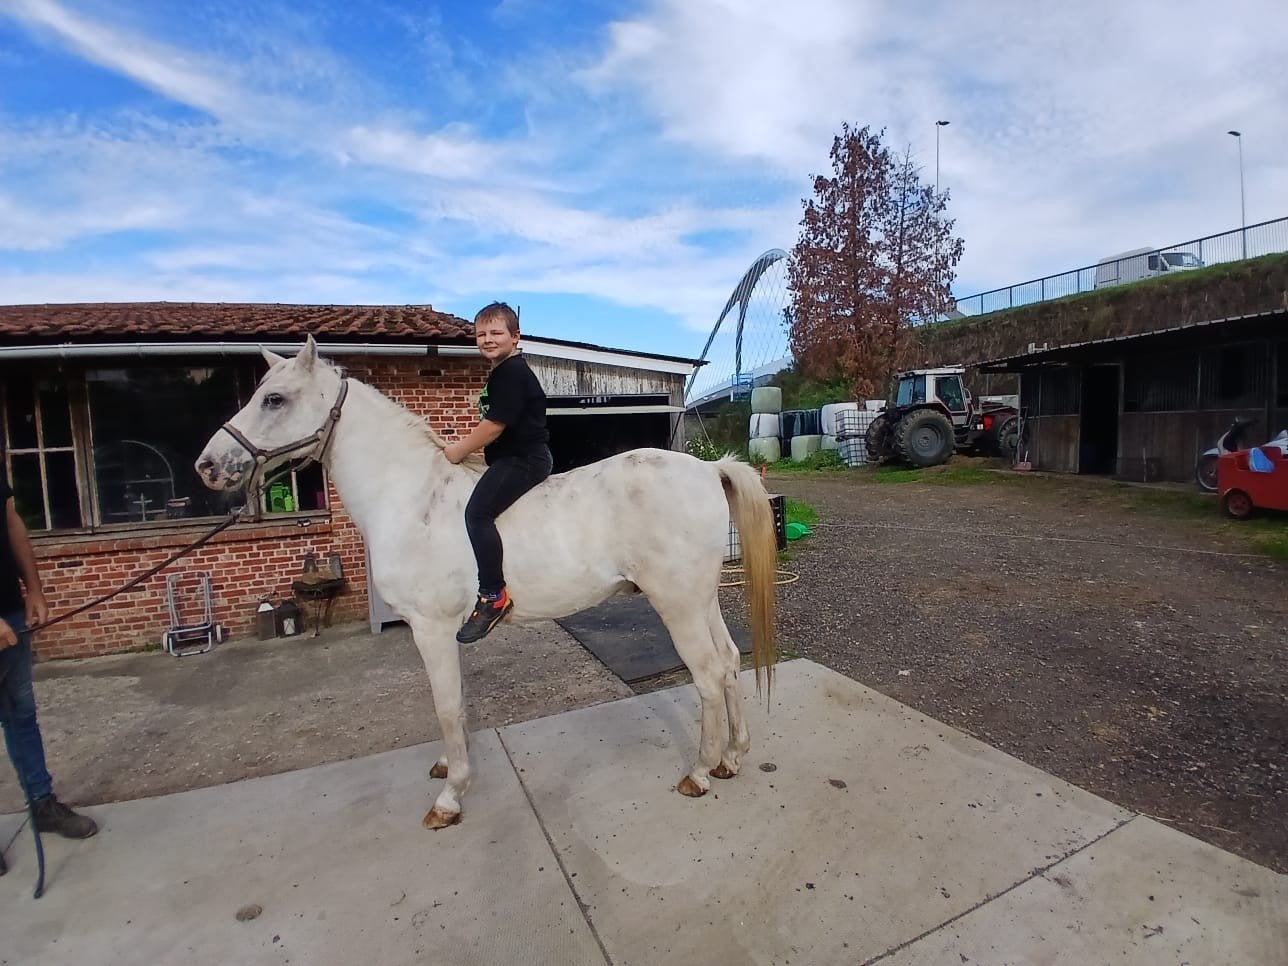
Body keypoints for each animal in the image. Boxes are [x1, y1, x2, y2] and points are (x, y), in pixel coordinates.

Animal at [195, 336, 777, 829]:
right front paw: (448, 769)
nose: (207, 466)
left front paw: (450, 797)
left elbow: (446, 706)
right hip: (701, 600)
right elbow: (456, 706)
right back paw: (732, 758)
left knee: (707, 675)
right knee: (729, 663)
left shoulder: (431, 629)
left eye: (274, 399)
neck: (412, 496)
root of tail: (707, 470)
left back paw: (699, 772)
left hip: (676, 604)